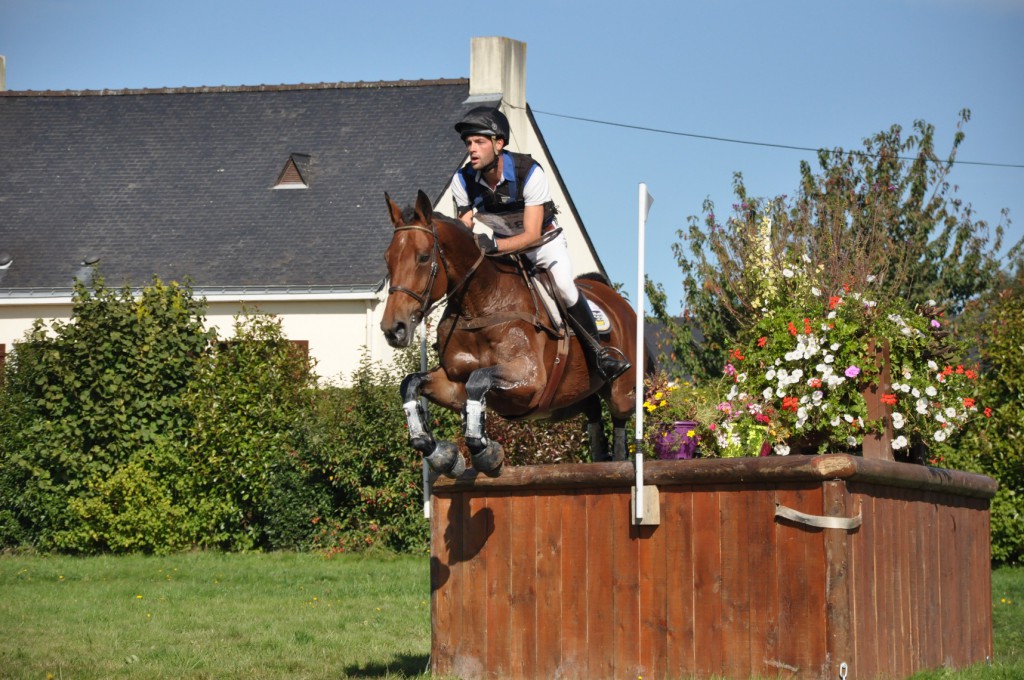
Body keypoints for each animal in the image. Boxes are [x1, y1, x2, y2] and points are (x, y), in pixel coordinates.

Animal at [385, 191, 638, 477]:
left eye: (424, 257)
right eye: (387, 259)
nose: (393, 328)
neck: (480, 304)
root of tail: (613, 296)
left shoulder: (530, 378)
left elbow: (478, 380)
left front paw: (486, 453)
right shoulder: (453, 383)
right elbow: (411, 384)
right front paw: (444, 455)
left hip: (620, 391)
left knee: (619, 414)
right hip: (565, 402)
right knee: (592, 408)